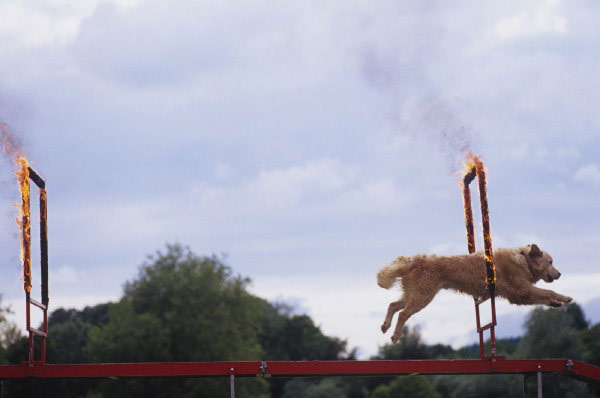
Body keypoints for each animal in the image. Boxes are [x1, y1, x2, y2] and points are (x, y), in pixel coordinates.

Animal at [380, 244, 572, 344]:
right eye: (551, 262)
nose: (560, 273)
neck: (524, 259)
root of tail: (415, 260)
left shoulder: (518, 296)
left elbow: (543, 296)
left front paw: (556, 303)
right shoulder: (522, 290)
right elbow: (549, 291)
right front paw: (565, 298)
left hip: (413, 294)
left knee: (393, 305)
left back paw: (385, 325)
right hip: (422, 296)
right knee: (403, 313)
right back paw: (395, 336)